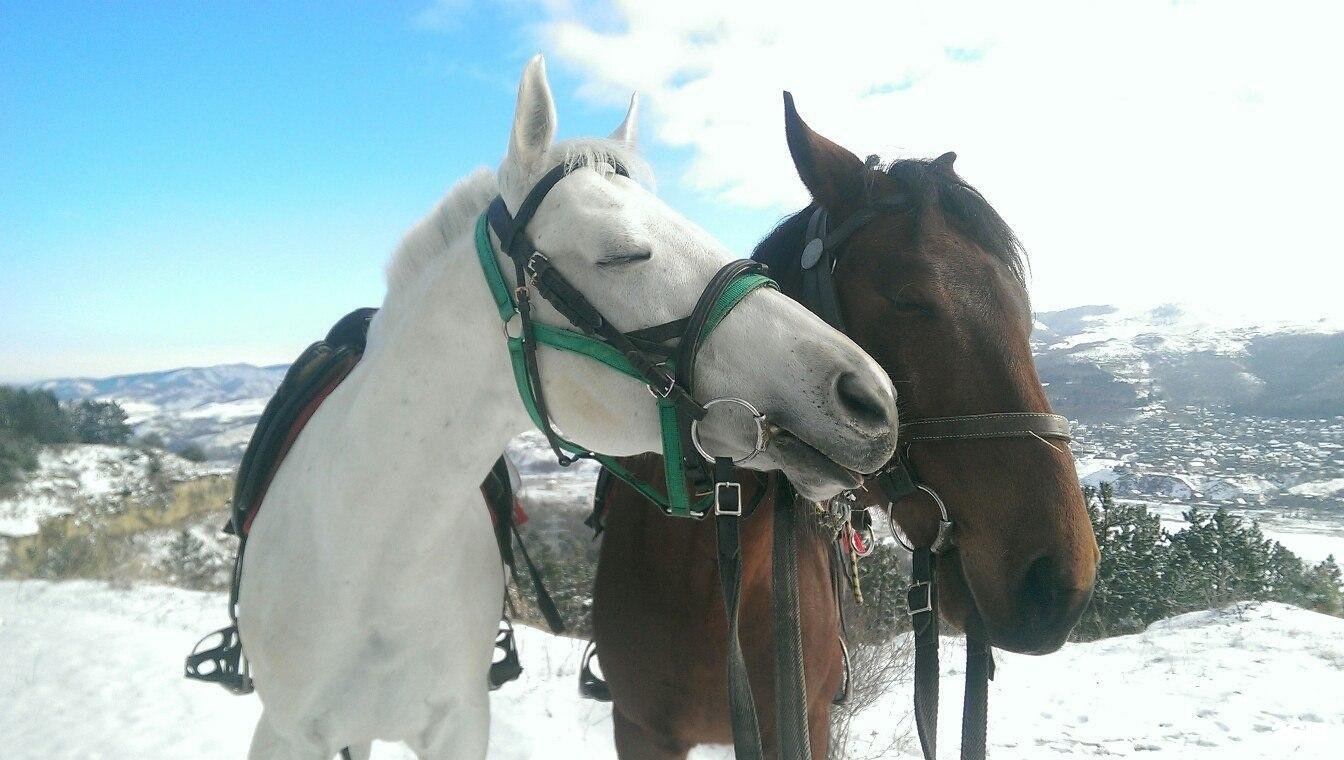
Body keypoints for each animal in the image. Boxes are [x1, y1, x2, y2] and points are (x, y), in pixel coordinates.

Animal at [594, 96, 1096, 758]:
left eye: (1024, 308)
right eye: (908, 297)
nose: (1058, 585)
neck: (705, 586)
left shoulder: (806, 722)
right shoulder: (639, 730)